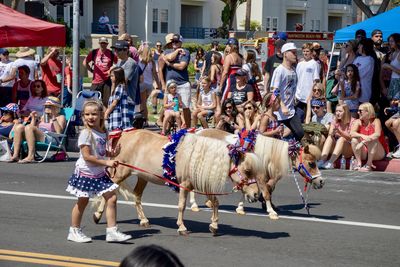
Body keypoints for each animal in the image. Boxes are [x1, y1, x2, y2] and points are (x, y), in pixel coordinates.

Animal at [92, 131, 264, 236]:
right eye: (247, 170)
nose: (257, 195)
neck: (199, 157)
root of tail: (123, 135)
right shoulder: (185, 185)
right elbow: (181, 206)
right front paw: (182, 227)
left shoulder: (203, 184)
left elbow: (215, 202)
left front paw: (214, 226)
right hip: (121, 172)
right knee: (108, 191)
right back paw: (97, 215)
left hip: (142, 177)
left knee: (137, 197)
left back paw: (144, 220)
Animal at [195, 129, 324, 220]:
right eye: (311, 163)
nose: (321, 181)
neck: (265, 157)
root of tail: (198, 132)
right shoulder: (259, 177)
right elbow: (265, 193)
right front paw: (272, 212)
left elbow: (252, 190)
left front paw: (241, 207)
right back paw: (195, 205)